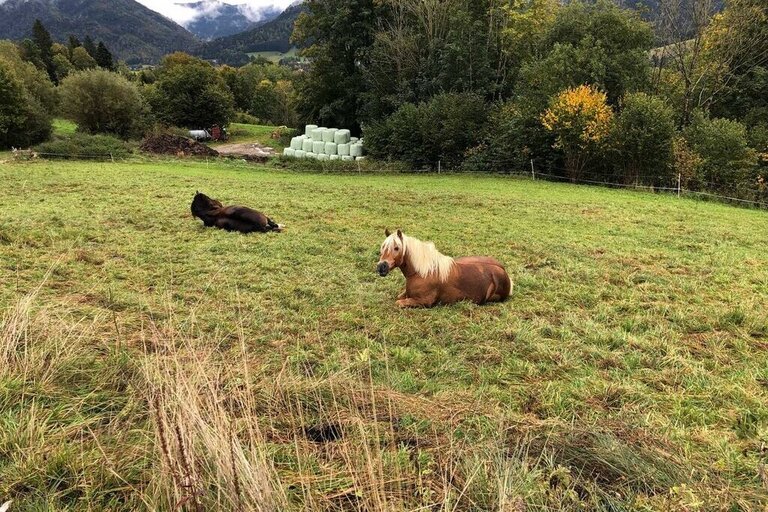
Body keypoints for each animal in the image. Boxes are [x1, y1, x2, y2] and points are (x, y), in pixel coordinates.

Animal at [376, 229, 510, 308]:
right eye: (383, 247)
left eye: (397, 248)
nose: (381, 267)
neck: (422, 272)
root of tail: (503, 270)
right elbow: (399, 298)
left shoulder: (424, 301)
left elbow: (398, 302)